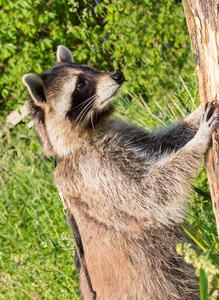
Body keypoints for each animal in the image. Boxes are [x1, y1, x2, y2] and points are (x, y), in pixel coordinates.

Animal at [22, 45, 219, 300]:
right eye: (81, 84)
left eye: (90, 68)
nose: (118, 74)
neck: (88, 132)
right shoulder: (93, 170)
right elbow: (149, 193)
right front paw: (198, 141)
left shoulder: (120, 133)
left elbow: (163, 143)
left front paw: (194, 117)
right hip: (154, 285)